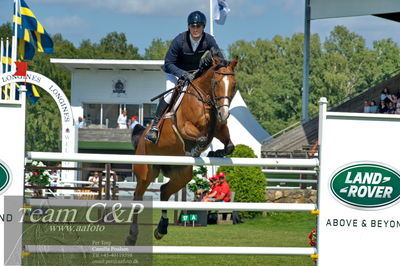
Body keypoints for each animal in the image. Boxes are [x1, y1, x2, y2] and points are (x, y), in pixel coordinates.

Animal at [125, 54, 238, 245]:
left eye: (234, 84)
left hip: (182, 175)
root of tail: (141, 138)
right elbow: (201, 138)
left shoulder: (220, 129)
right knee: (138, 196)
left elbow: (229, 145)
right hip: (146, 172)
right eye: (216, 83)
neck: (205, 99)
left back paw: (161, 229)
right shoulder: (185, 126)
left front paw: (216, 152)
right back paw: (132, 236)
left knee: (164, 190)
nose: (224, 114)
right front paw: (194, 150)